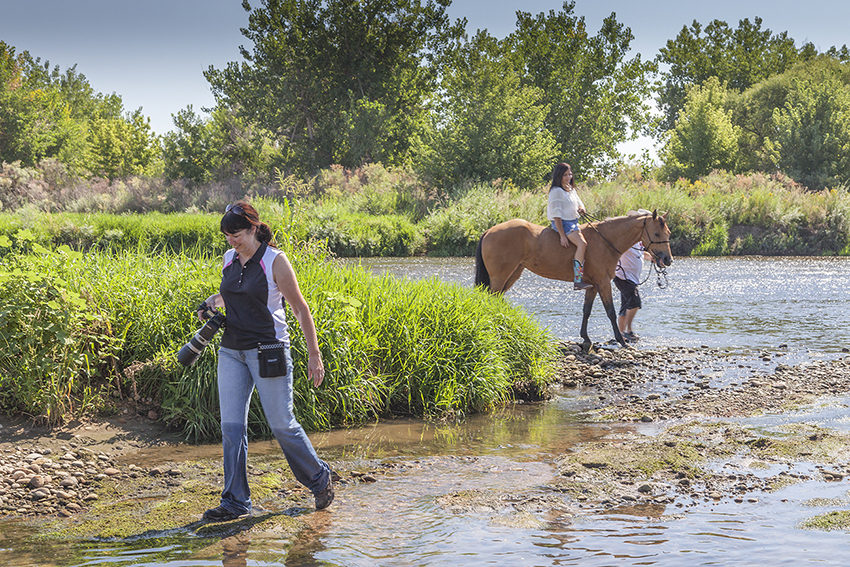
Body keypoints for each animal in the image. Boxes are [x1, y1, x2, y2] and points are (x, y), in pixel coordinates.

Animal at [476, 211, 668, 348]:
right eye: (656, 233)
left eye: (668, 232)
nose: (667, 259)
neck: (605, 241)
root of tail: (489, 231)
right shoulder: (603, 282)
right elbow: (611, 312)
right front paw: (621, 340)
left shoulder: (593, 285)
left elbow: (586, 311)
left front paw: (586, 338)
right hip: (500, 276)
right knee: (490, 299)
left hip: (512, 274)